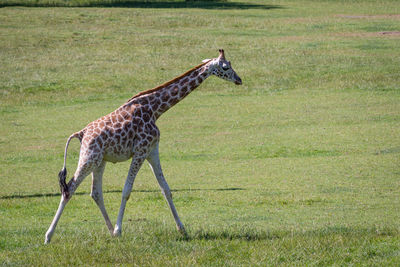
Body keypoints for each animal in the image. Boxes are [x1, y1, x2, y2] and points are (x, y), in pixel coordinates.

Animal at [45, 49, 242, 244]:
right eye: (225, 66)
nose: (239, 80)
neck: (155, 109)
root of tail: (81, 133)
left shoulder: (152, 150)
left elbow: (166, 188)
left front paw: (182, 229)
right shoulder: (140, 151)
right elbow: (126, 190)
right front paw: (119, 230)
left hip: (100, 161)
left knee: (95, 193)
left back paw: (109, 231)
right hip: (89, 158)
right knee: (69, 189)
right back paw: (48, 236)